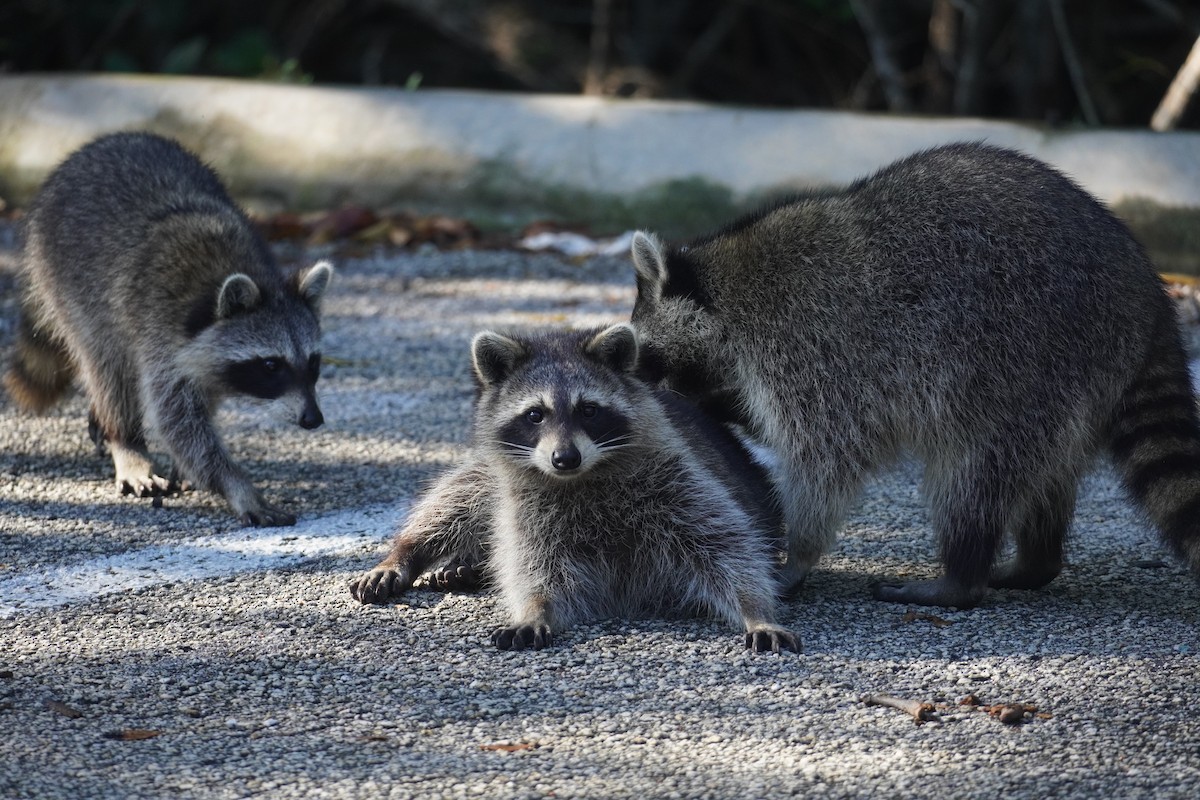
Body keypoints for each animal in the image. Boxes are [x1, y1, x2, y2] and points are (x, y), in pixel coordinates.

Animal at [3, 132, 333, 526]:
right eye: (271, 365)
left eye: (313, 362)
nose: (312, 419)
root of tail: (101, 143)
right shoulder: (158, 331)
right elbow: (176, 419)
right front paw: (235, 484)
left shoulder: (201, 351)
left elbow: (197, 402)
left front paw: (194, 467)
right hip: (69, 284)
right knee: (109, 367)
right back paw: (126, 441)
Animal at [351, 324, 798, 653]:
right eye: (535, 415)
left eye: (589, 410)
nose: (564, 458)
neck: (583, 477)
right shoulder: (527, 504)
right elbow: (534, 564)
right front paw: (534, 609)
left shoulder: (679, 481)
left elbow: (726, 546)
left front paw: (756, 608)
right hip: (490, 473)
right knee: (461, 495)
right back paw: (410, 553)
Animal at [630, 142, 1200, 609]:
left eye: (643, 355)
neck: (723, 292)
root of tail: (1146, 297)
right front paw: (712, 403)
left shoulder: (812, 347)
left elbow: (827, 457)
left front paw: (799, 552)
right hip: (1066, 391)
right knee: (1044, 477)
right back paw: (1036, 560)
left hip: (1028, 363)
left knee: (971, 473)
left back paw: (960, 577)